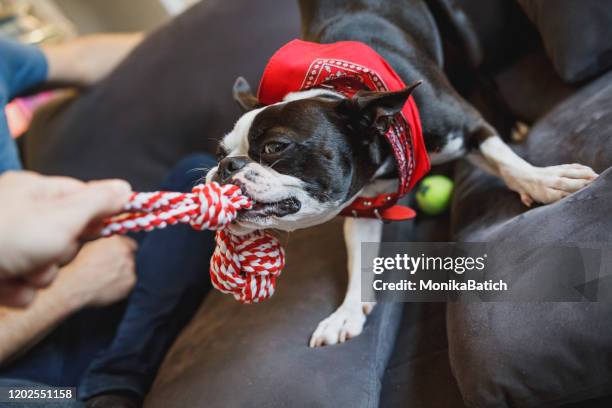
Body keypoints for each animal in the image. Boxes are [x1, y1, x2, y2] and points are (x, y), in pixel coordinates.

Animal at [207, 0, 596, 348]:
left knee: (481, 72)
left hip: (462, 30)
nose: (226, 167)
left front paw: (546, 181)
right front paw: (347, 312)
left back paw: (511, 120)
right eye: (220, 153)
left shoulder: (468, 126)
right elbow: (358, 257)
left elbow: (506, 162)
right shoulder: (361, 205)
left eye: (275, 147)